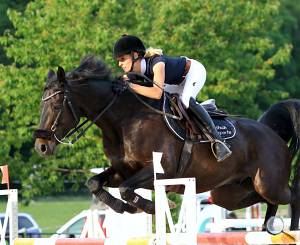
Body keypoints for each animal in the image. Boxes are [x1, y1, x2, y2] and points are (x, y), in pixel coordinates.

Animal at [34, 55, 300, 230]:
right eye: (41, 104)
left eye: (56, 105)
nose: (41, 146)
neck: (124, 120)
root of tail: (271, 133)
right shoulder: (122, 170)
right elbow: (95, 183)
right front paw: (125, 208)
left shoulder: (163, 171)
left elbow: (126, 189)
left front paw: (157, 207)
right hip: (230, 192)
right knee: (261, 200)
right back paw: (269, 226)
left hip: (270, 183)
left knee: (291, 194)